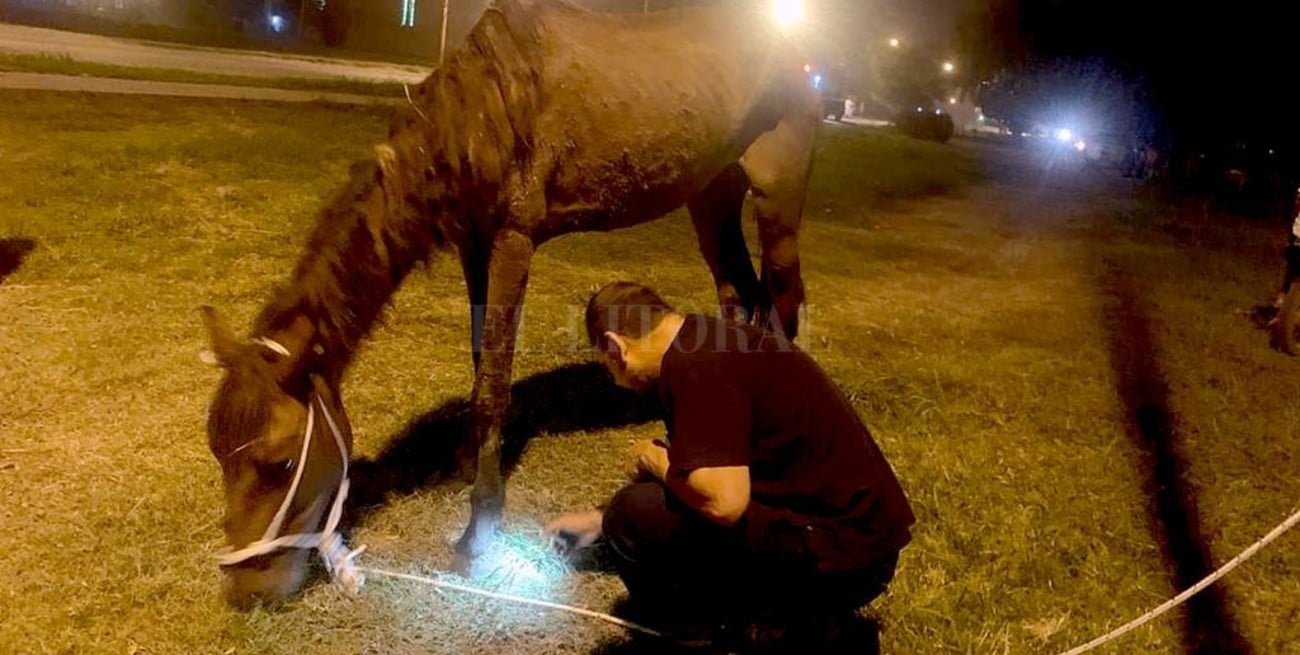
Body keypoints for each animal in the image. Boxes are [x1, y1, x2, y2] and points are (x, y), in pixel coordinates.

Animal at [200, 0, 811, 608]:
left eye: (280, 462)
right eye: (218, 451)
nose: (247, 588)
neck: (476, 118)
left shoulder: (514, 240)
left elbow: (492, 386)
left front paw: (477, 535)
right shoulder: (474, 242)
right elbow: (481, 366)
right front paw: (467, 465)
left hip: (776, 189)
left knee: (782, 303)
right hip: (712, 192)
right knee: (737, 296)